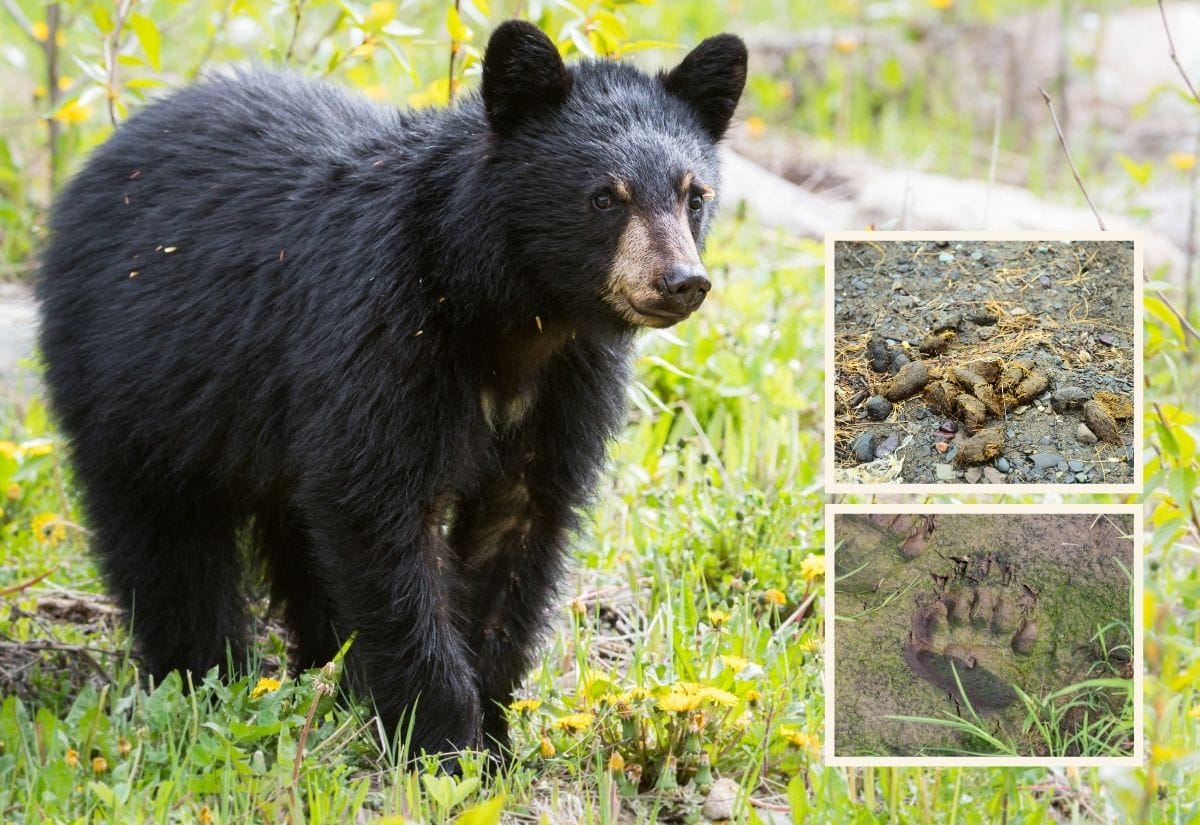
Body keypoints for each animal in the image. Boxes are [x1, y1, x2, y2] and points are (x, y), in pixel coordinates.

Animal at [37, 19, 744, 757]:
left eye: (694, 194)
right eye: (606, 196)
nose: (681, 282)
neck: (510, 312)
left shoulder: (567, 382)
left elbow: (518, 522)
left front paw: (493, 735)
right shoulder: (381, 332)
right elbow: (379, 512)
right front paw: (441, 737)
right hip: (133, 380)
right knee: (165, 540)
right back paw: (206, 675)